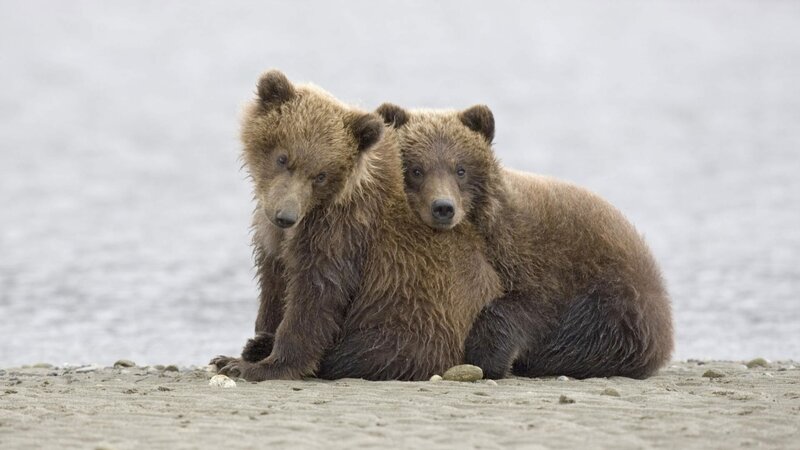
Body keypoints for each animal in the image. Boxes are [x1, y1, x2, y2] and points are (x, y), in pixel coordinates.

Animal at [209, 71, 502, 381]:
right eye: (283, 158)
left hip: (415, 318)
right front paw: (250, 345)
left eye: (321, 175)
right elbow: (274, 284)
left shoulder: (341, 232)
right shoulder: (273, 235)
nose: (285, 215)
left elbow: (315, 296)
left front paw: (256, 365)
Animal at [376, 102, 674, 379]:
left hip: (619, 300)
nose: (443, 207)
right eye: (416, 169)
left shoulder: (539, 261)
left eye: (460, 169)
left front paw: (488, 357)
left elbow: (526, 309)